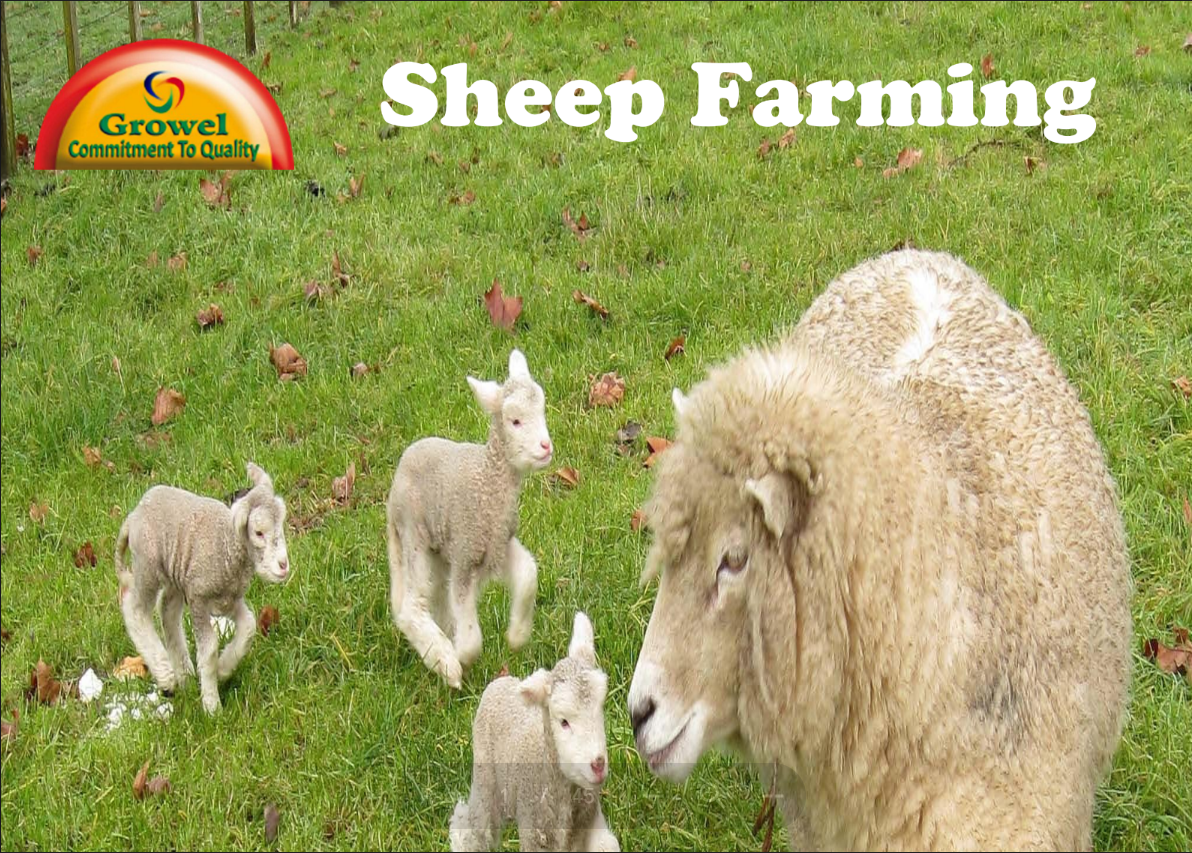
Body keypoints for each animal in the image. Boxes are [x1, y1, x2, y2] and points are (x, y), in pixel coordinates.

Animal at [114, 462, 291, 715]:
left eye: (281, 523)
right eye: (258, 532)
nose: (284, 565)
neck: (226, 545)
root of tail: (134, 515)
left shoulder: (228, 600)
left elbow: (248, 626)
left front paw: (223, 669)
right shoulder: (198, 599)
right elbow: (209, 650)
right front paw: (212, 706)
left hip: (176, 575)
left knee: (167, 611)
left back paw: (184, 674)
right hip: (148, 565)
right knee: (135, 608)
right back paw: (166, 674)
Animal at [386, 349, 553, 689]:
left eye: (542, 410)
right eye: (515, 421)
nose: (546, 447)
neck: (488, 482)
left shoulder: (498, 544)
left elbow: (528, 575)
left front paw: (517, 636)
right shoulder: (466, 551)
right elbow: (471, 631)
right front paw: (462, 655)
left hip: (439, 548)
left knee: (435, 597)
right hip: (413, 533)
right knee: (411, 606)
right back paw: (444, 662)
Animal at [449, 611, 620, 853]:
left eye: (600, 708)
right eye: (563, 721)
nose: (598, 765)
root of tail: (502, 681)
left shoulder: (590, 825)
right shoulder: (534, 834)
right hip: (485, 777)